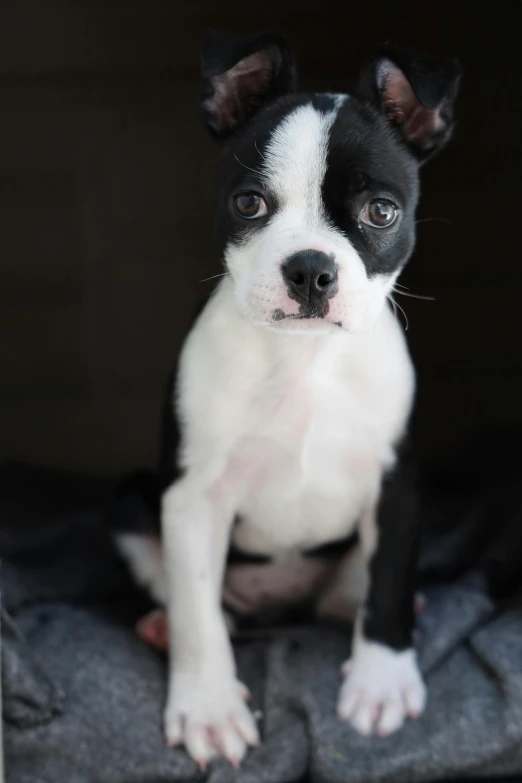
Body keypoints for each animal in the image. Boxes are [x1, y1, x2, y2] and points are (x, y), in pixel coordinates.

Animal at [114, 32, 460, 772]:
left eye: (381, 212)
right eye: (249, 204)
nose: (309, 269)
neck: (304, 361)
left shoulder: (398, 484)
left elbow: (388, 580)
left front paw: (382, 678)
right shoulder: (193, 499)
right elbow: (198, 610)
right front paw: (209, 707)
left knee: (351, 594)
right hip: (132, 498)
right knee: (200, 599)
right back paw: (161, 627)